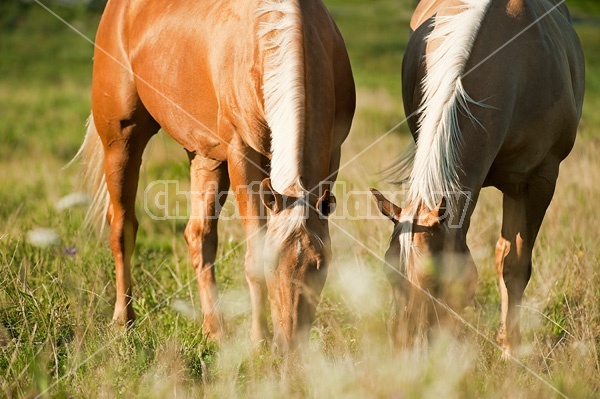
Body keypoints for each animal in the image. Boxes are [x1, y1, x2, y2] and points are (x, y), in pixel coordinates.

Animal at [77, 0, 354, 352]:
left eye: (320, 266)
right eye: (272, 264)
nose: (290, 344)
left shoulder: (332, 155)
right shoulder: (241, 156)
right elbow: (252, 257)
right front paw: (258, 340)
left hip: (206, 157)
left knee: (199, 235)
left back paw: (215, 330)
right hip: (121, 139)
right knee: (122, 227)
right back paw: (123, 321)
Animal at [372, 0, 584, 356]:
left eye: (433, 283)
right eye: (389, 276)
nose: (405, 354)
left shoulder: (537, 182)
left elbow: (514, 264)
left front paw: (511, 350)